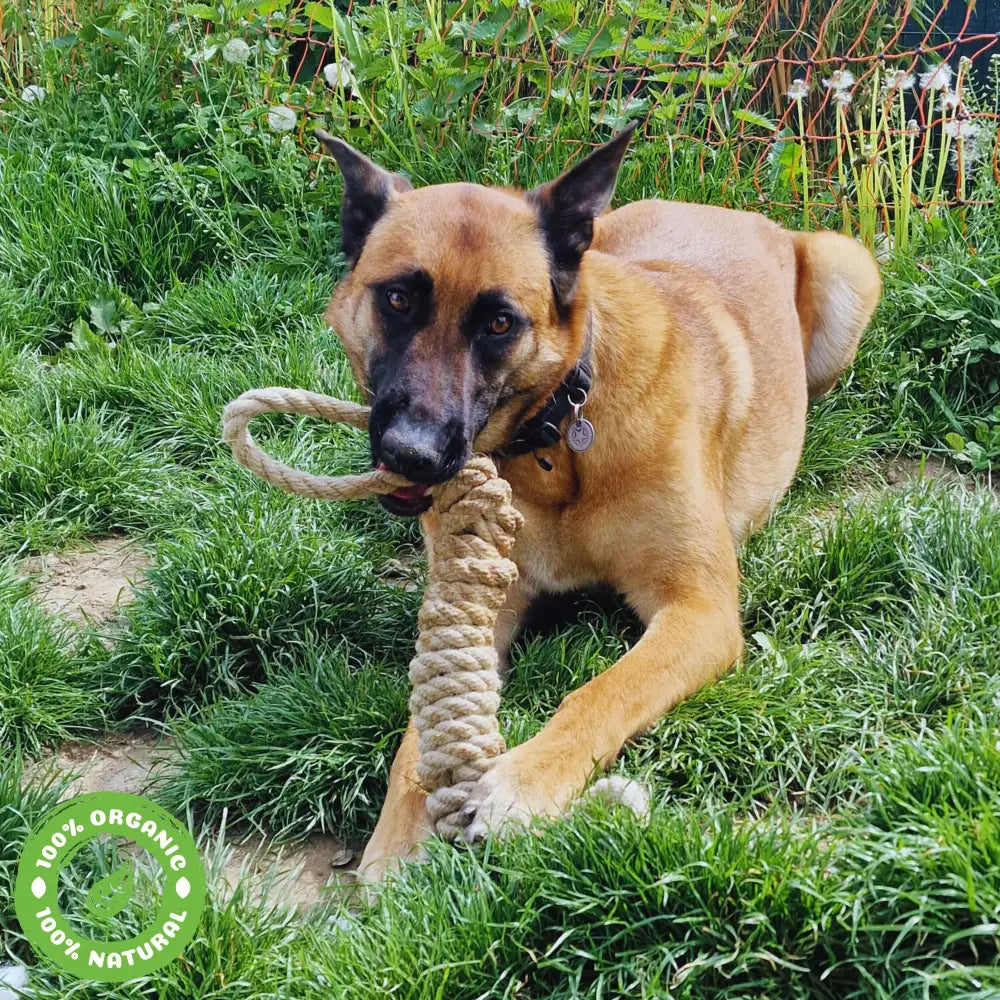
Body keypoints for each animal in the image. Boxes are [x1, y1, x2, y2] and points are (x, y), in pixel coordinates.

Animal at [316, 123, 880, 876]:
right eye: (398, 300)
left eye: (499, 323)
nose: (413, 453)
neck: (557, 439)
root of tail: (736, 214)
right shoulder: (483, 606)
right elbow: (422, 728)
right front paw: (392, 846)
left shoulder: (699, 611)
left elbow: (604, 690)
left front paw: (523, 782)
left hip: (849, 268)